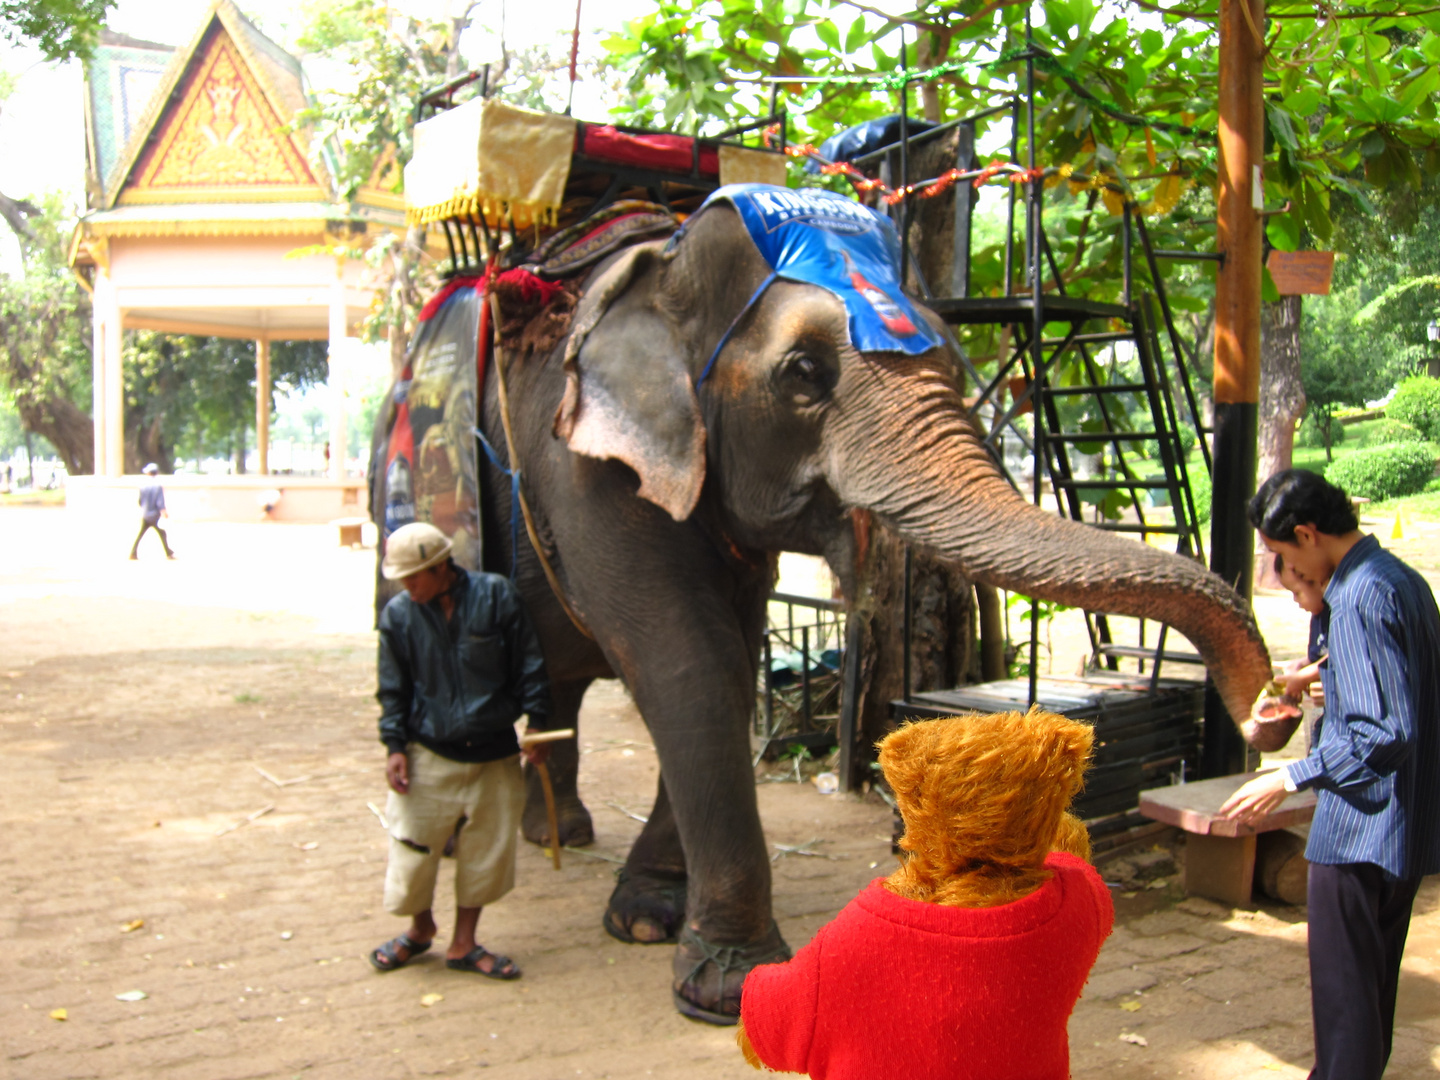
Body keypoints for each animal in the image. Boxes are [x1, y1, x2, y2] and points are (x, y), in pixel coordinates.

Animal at [374, 184, 1272, 1025]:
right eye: (804, 372)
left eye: (953, 359)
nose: (1268, 716)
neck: (668, 262)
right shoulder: (584, 465)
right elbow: (686, 661)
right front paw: (725, 987)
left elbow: (732, 656)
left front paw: (648, 919)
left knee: (552, 680)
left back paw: (559, 833)